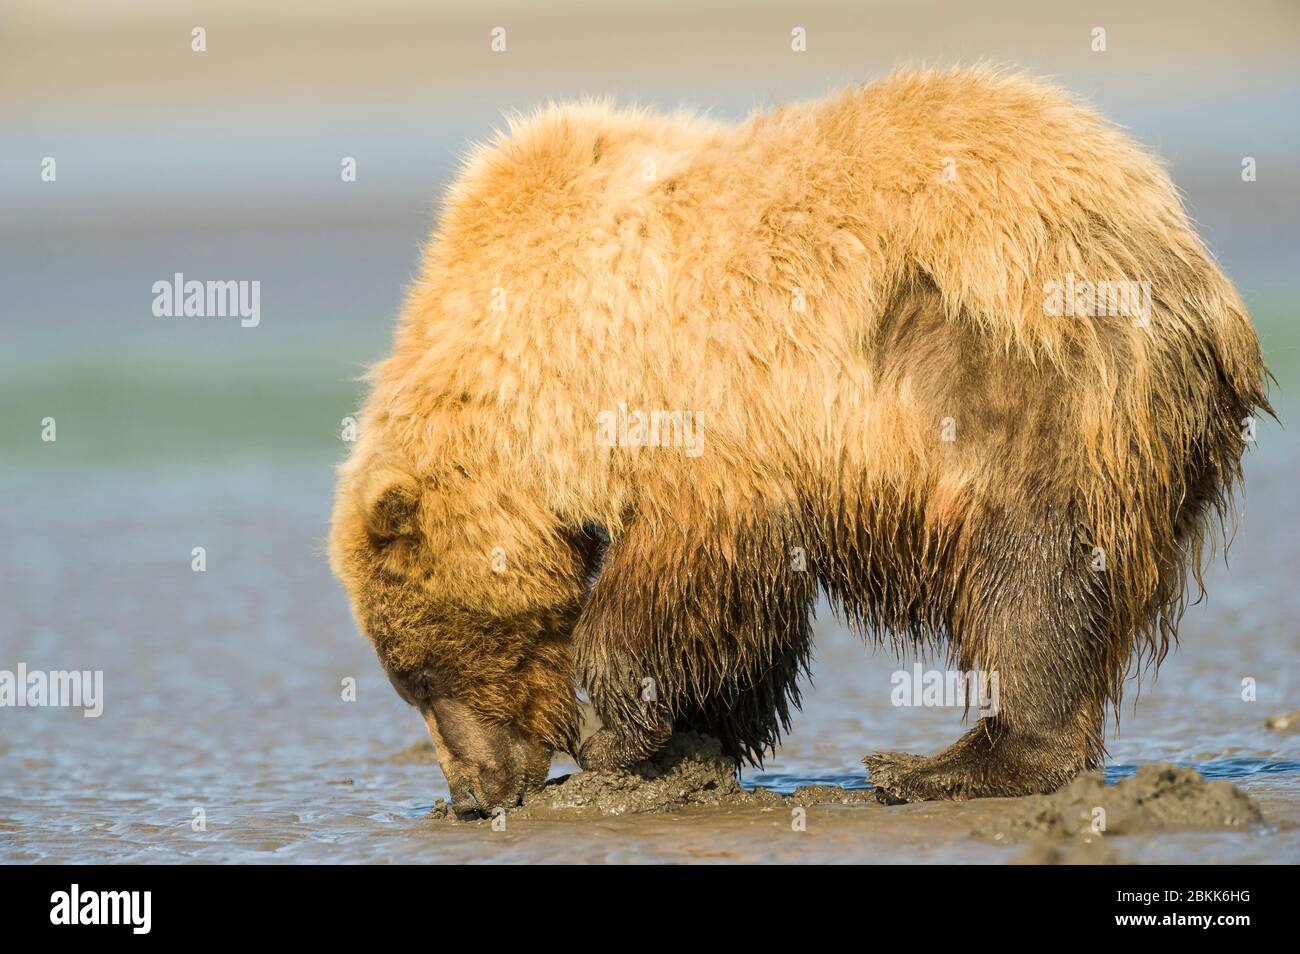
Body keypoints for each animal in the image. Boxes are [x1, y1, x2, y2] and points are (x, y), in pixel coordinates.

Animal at [327, 67, 1268, 816]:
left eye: (418, 674)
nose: (469, 792)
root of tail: (1191, 266)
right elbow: (746, 614)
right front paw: (691, 742)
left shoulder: (683, 400)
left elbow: (686, 566)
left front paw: (613, 735)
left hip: (1026, 369)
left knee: (1033, 575)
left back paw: (942, 766)